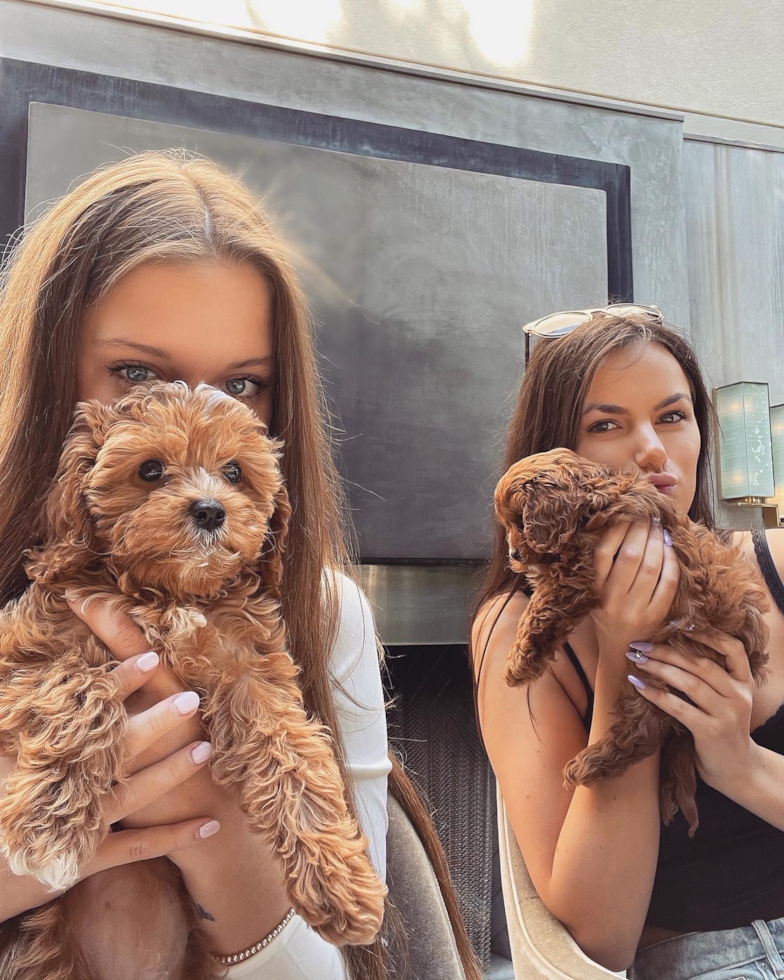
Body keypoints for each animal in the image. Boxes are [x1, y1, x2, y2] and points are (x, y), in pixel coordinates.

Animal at [0, 380, 386, 980]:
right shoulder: (30, 646)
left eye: (233, 472)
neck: (170, 593)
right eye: (150, 470)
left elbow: (294, 754)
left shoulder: (251, 670)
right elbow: (79, 683)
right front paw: (51, 825)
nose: (209, 509)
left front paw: (341, 881)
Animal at [494, 448, 768, 840]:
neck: (590, 502)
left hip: (666, 663)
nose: (514, 556)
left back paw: (588, 765)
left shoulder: (574, 574)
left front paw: (518, 665)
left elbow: (540, 610)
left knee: (642, 733)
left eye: (520, 520)